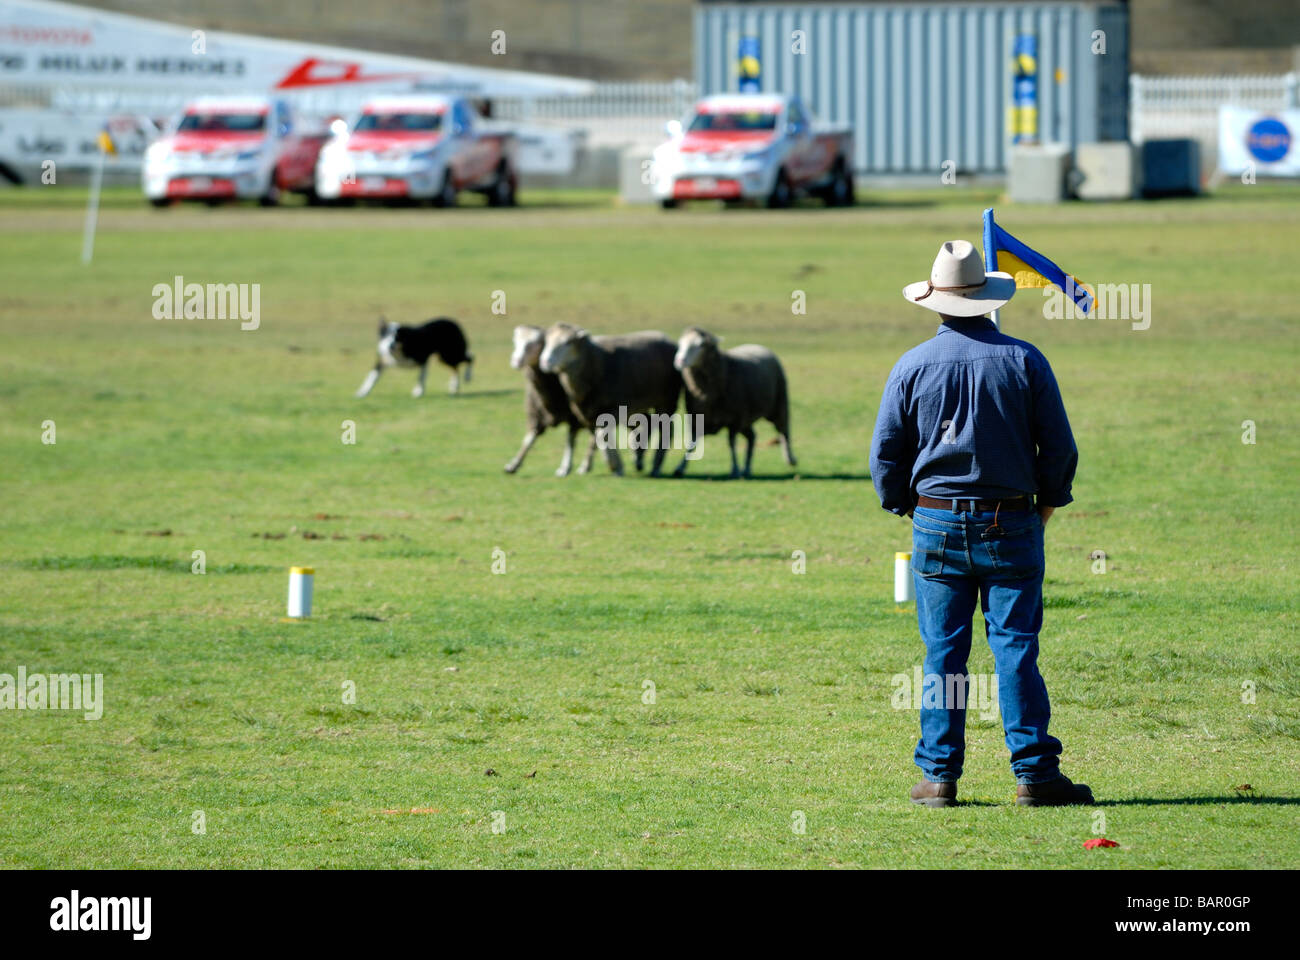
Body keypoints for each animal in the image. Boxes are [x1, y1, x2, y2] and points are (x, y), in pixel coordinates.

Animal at [501, 325, 598, 476]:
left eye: (535, 343)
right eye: (515, 341)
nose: (515, 360)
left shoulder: (574, 417)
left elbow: (570, 440)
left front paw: (565, 467)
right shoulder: (536, 414)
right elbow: (528, 439)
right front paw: (513, 465)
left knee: (595, 438)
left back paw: (585, 465)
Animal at [535, 321, 681, 476]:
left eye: (568, 342)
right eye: (547, 342)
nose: (544, 361)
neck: (594, 363)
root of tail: (667, 339)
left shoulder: (614, 409)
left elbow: (600, 436)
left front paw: (614, 466)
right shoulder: (589, 412)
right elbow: (598, 438)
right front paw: (604, 465)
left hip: (667, 400)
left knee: (666, 430)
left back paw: (655, 466)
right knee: (646, 423)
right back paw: (638, 458)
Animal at [676, 325, 795, 478]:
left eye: (701, 344)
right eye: (680, 343)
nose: (680, 361)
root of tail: (758, 345)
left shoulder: (735, 419)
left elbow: (731, 443)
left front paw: (735, 469)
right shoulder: (697, 418)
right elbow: (692, 443)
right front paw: (680, 468)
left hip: (778, 404)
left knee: (784, 430)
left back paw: (790, 459)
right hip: (746, 419)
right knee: (752, 437)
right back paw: (747, 469)